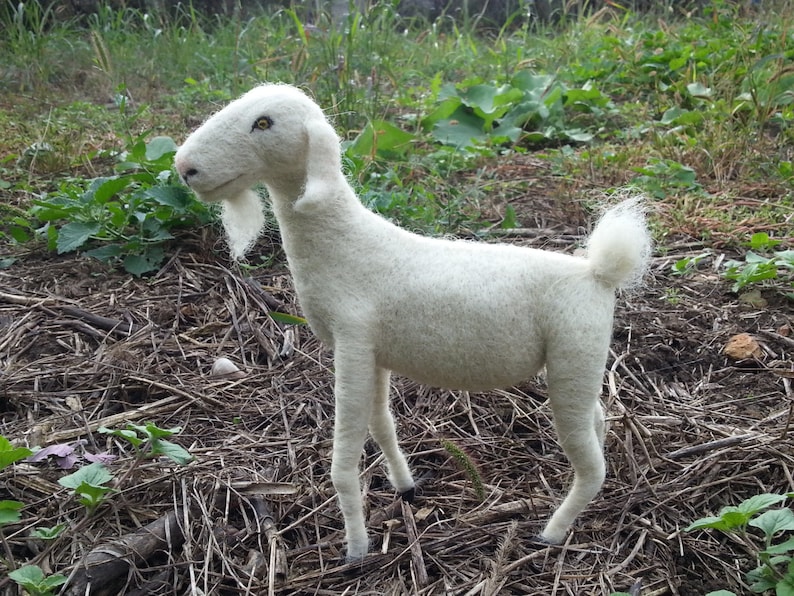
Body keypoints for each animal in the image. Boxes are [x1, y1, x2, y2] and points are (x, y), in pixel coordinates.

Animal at [173, 84, 648, 564]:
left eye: (264, 122)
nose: (185, 168)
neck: (345, 242)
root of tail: (599, 273)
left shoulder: (351, 342)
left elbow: (344, 459)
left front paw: (356, 548)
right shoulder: (373, 353)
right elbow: (381, 423)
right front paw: (405, 487)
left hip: (574, 357)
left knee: (592, 466)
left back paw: (550, 533)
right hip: (581, 364)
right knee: (599, 420)